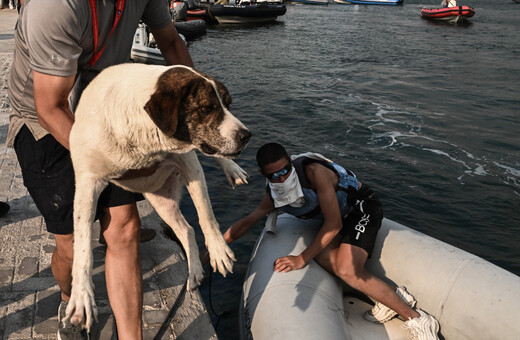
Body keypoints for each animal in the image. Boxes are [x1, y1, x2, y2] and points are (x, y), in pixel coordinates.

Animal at [65, 63, 252, 330]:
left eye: (228, 104)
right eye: (207, 107)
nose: (247, 135)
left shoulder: (188, 159)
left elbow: (206, 213)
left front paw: (218, 250)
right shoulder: (86, 183)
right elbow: (82, 245)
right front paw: (81, 296)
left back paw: (231, 169)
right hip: (160, 200)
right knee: (186, 229)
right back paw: (194, 271)